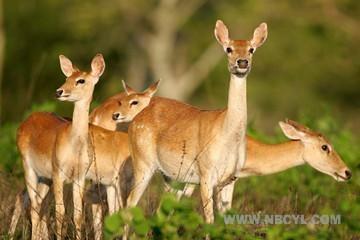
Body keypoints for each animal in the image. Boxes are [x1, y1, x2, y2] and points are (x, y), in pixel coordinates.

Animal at [124, 19, 268, 225]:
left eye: (251, 49)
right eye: (229, 49)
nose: (242, 62)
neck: (227, 136)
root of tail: (135, 121)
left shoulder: (231, 178)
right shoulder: (206, 172)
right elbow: (209, 219)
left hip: (172, 176)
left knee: (161, 210)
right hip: (143, 162)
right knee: (130, 203)